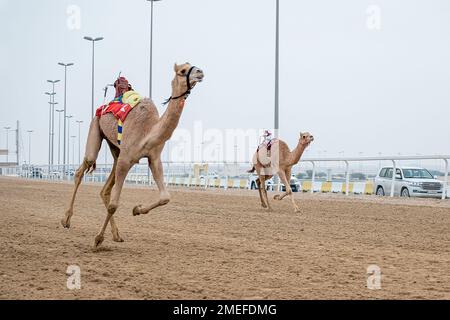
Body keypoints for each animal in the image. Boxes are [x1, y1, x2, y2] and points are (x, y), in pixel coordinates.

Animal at [61, 63, 204, 248]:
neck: (148, 131)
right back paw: (66, 220)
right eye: (182, 71)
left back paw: (117, 235)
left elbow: (165, 197)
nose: (200, 72)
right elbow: (114, 205)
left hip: (116, 150)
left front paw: (137, 209)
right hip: (96, 126)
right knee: (82, 169)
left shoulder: (153, 158)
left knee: (105, 190)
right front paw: (98, 239)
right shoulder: (127, 158)